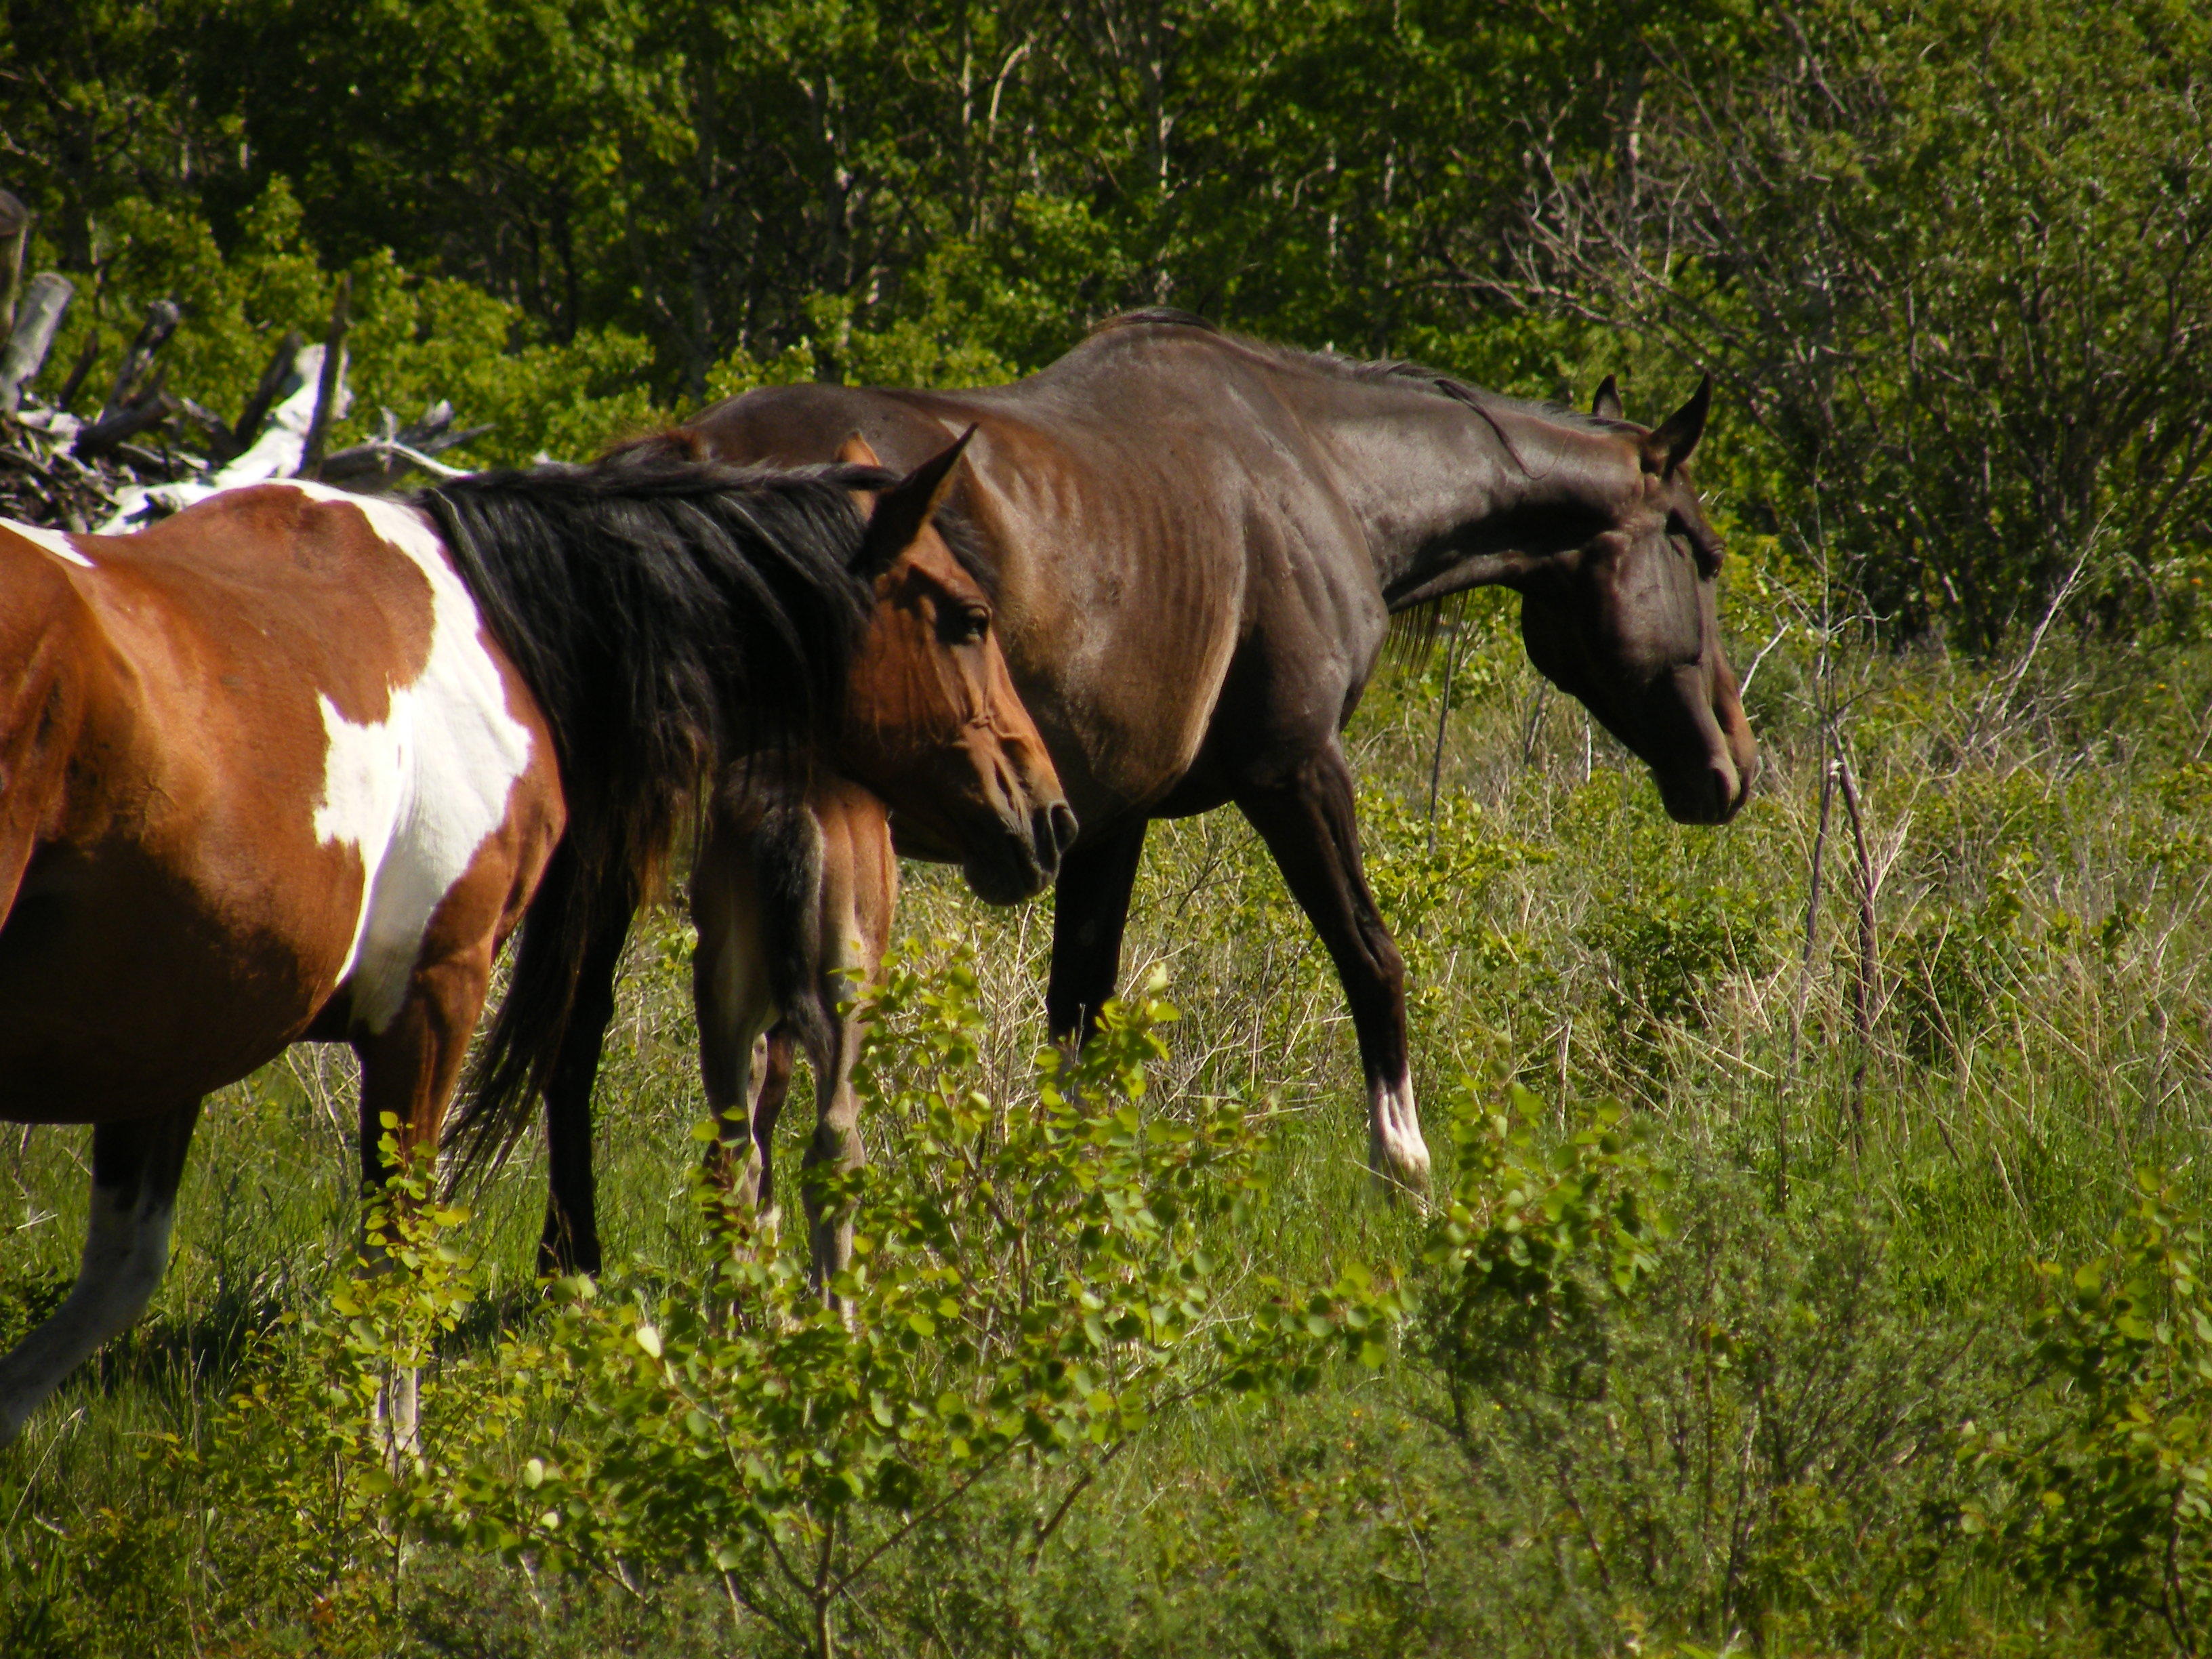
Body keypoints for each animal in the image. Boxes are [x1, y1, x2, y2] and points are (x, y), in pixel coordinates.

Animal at [0, 436, 1061, 1451]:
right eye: (970, 617)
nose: (1049, 817)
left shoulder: (185, 1031)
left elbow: (127, 1272)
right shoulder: (434, 989)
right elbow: (402, 1241)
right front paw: (397, 1458)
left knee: (738, 1160)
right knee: (821, 1152)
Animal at [539, 312, 1761, 1265]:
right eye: (1699, 552)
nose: (1730, 771)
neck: (1312, 469)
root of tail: (686, 450)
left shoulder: (1099, 823)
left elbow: (1077, 1017)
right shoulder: (1295, 770)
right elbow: (1372, 958)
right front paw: (1405, 1170)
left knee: (580, 1027)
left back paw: (574, 1260)